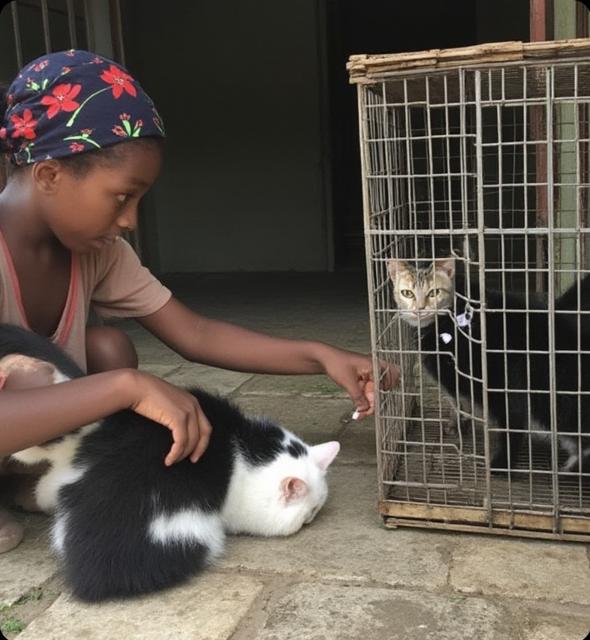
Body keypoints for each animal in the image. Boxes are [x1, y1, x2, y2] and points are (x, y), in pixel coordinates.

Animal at [388, 257, 590, 474]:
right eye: (407, 293)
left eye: (434, 292)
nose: (419, 309)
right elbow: (459, 403)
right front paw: (456, 424)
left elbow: (509, 419)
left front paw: (501, 462)